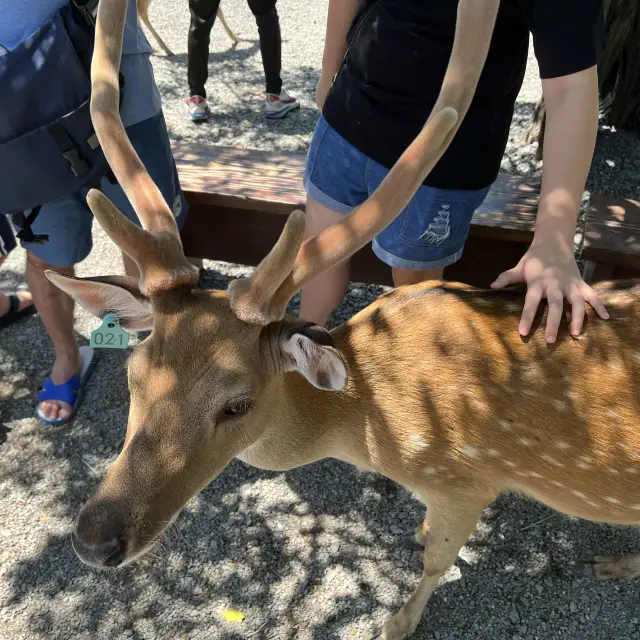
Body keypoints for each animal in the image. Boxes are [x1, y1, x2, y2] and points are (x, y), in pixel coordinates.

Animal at [46, 1, 640, 636]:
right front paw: (413, 535)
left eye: (238, 404)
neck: (368, 427)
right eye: (133, 375)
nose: (94, 540)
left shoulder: (468, 481)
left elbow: (436, 561)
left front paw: (397, 622)